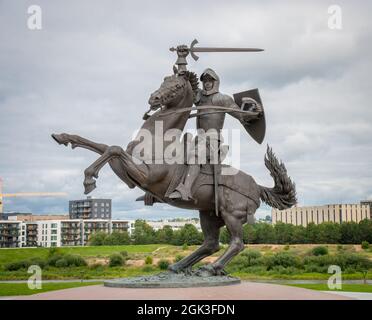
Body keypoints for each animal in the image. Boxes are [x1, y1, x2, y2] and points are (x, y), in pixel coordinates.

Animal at [51, 69, 296, 276]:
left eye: (177, 86)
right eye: (163, 81)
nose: (154, 99)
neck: (159, 139)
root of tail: (257, 186)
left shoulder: (145, 175)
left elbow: (113, 149)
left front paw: (89, 179)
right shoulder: (125, 165)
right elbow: (102, 146)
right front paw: (63, 137)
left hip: (231, 215)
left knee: (236, 243)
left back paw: (211, 268)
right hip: (207, 214)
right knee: (210, 244)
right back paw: (178, 266)